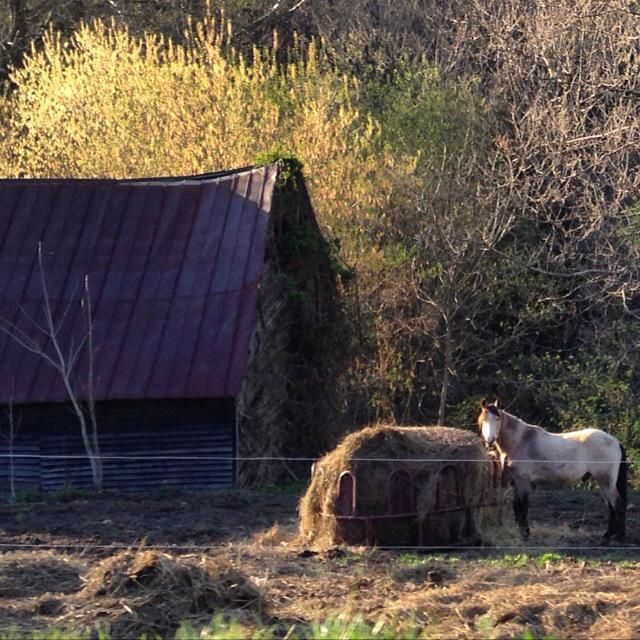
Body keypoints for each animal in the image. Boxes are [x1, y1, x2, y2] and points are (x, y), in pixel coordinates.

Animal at [477, 399, 627, 542]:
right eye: (483, 419)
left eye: (497, 418)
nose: (489, 440)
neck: (520, 441)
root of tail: (615, 441)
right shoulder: (514, 482)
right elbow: (517, 507)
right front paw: (520, 532)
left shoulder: (523, 482)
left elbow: (523, 506)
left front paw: (525, 534)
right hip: (602, 482)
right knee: (610, 506)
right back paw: (607, 534)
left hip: (606, 481)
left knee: (617, 504)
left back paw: (619, 537)